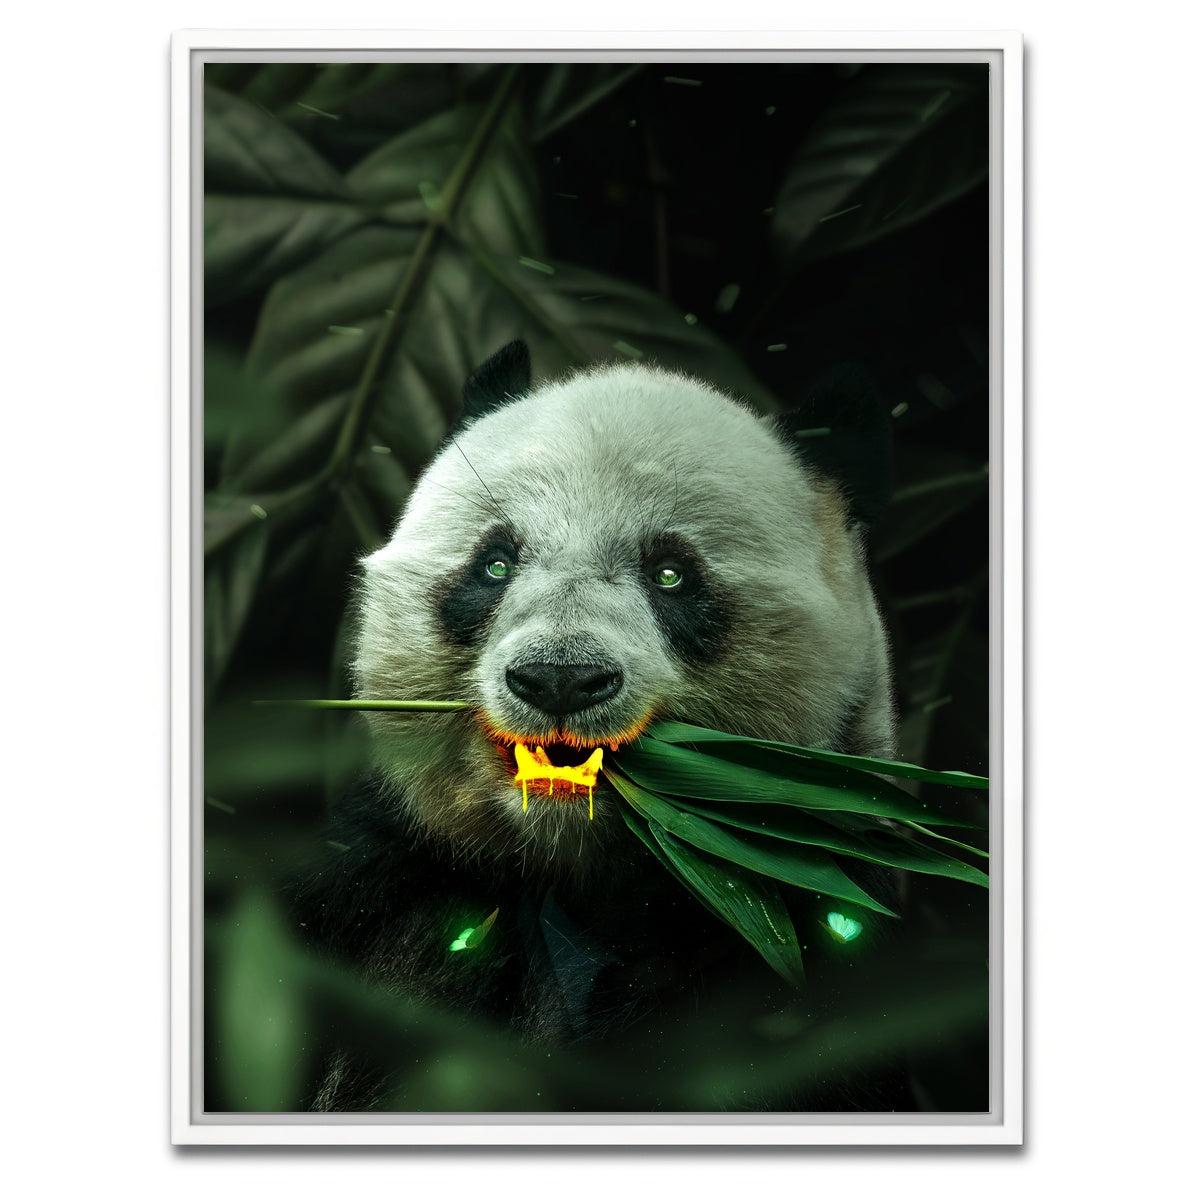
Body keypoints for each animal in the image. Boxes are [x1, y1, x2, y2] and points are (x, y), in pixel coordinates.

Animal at [296, 340, 899, 1111]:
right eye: (495, 563)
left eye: (671, 574)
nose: (559, 678)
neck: (578, 868)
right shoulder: (386, 872)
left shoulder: (802, 928)